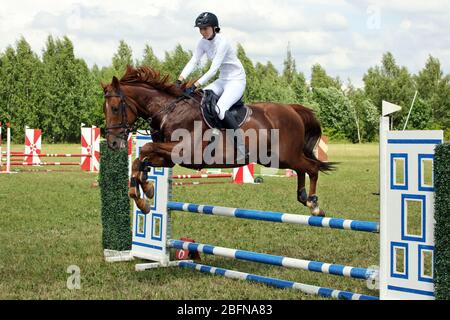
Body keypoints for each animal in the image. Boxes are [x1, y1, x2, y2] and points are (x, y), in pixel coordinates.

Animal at [102, 67, 334, 218]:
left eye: (115, 108)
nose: (112, 143)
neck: (169, 111)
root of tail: (292, 109)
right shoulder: (169, 158)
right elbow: (140, 159)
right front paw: (144, 193)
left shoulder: (184, 152)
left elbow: (146, 149)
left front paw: (145, 191)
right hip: (276, 159)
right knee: (303, 168)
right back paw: (303, 197)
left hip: (284, 156)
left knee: (311, 167)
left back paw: (313, 204)